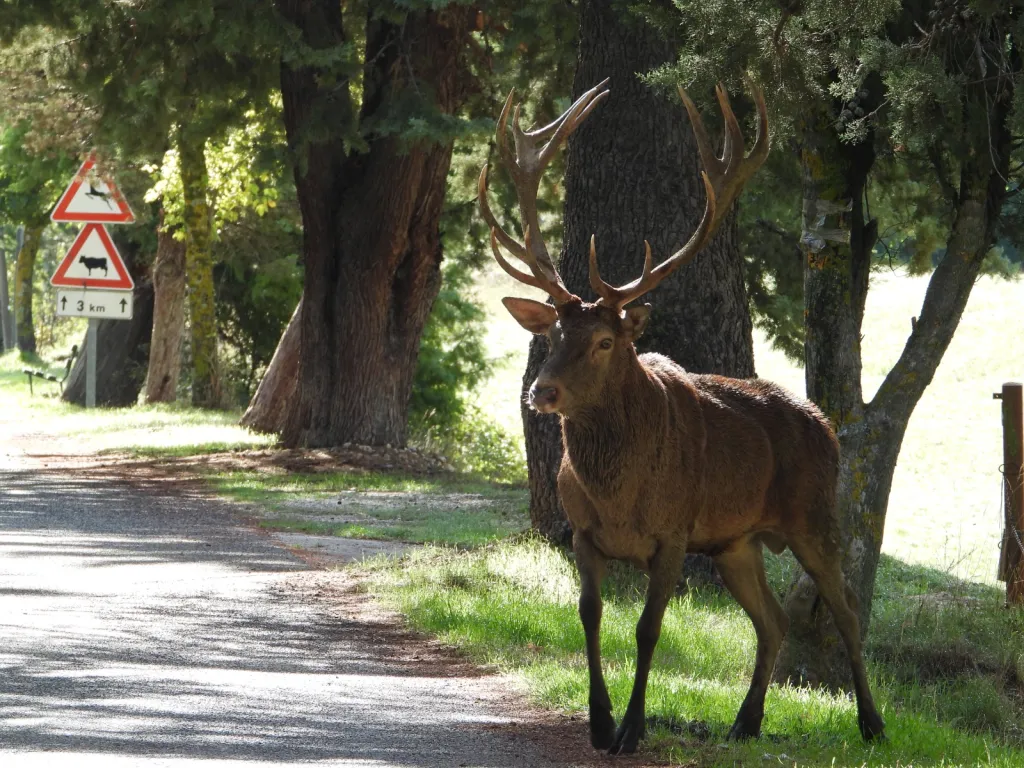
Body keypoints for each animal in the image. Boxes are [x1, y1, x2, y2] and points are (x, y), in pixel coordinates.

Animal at [477, 79, 886, 755]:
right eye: (553, 333)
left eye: (604, 342)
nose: (542, 390)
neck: (618, 494)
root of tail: (824, 424)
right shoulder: (581, 532)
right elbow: (589, 616)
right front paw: (598, 722)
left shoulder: (672, 532)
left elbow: (648, 628)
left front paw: (632, 729)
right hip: (736, 542)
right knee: (773, 619)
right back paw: (746, 722)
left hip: (814, 514)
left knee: (848, 608)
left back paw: (872, 724)